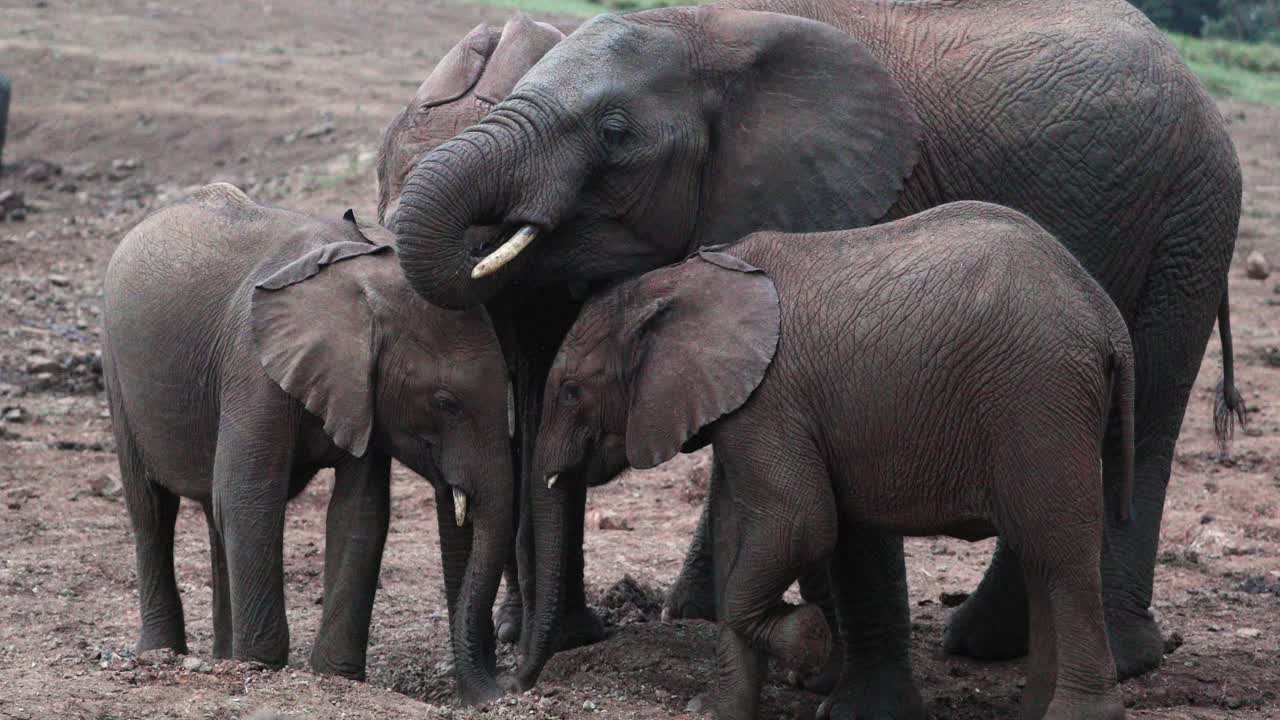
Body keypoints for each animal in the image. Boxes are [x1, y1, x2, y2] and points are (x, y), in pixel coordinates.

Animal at [102, 183, 512, 704]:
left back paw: (222, 656)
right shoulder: (252, 367)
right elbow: (251, 497)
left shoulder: (359, 394)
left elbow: (359, 512)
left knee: (213, 513)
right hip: (115, 369)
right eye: (446, 403)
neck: (360, 277)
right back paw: (164, 653)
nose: (497, 694)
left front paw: (335, 675)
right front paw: (262, 665)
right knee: (152, 508)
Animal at [533, 202, 1136, 720]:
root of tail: (1108, 318)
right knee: (1041, 556)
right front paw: (717, 711)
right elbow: (735, 535)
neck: (680, 279)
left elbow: (800, 523)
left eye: (570, 391)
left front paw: (809, 641)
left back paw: (1079, 715)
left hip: (1040, 396)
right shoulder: (740, 409)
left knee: (1060, 553)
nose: (526, 682)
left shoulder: (771, 403)